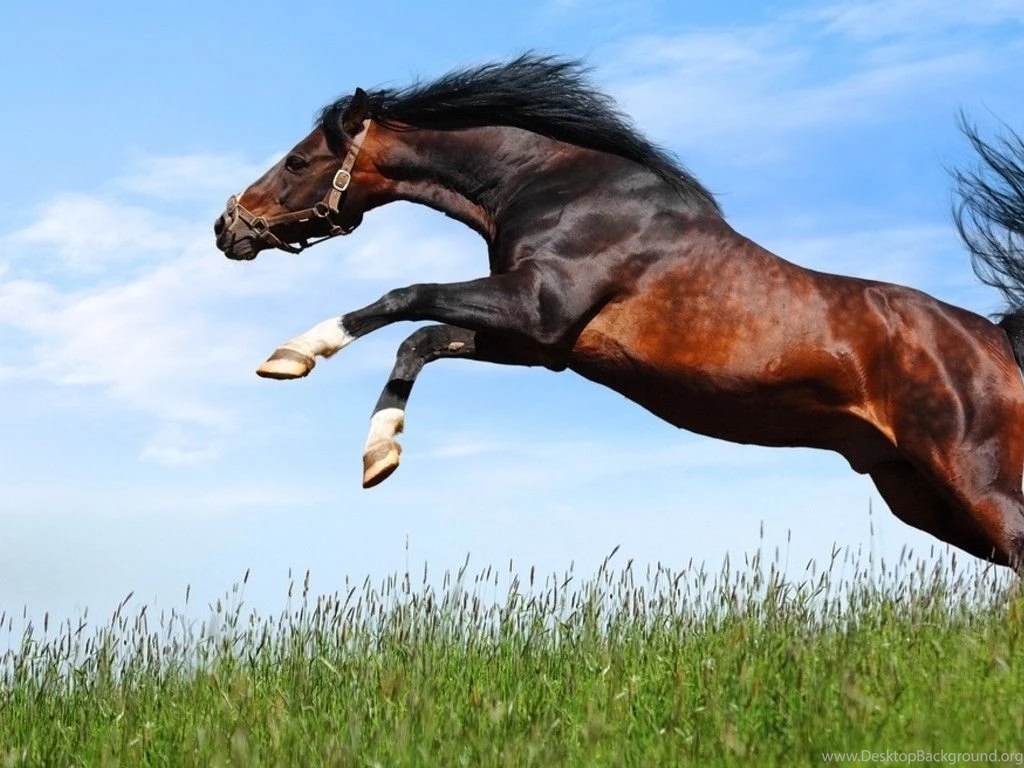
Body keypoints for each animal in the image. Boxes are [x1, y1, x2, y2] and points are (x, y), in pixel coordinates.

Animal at [214, 55, 1024, 569]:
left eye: (299, 160)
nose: (228, 228)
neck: (559, 187)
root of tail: (995, 340)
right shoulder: (541, 343)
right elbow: (421, 340)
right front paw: (380, 454)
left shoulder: (538, 307)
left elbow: (401, 300)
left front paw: (291, 354)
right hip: (918, 493)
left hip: (976, 480)